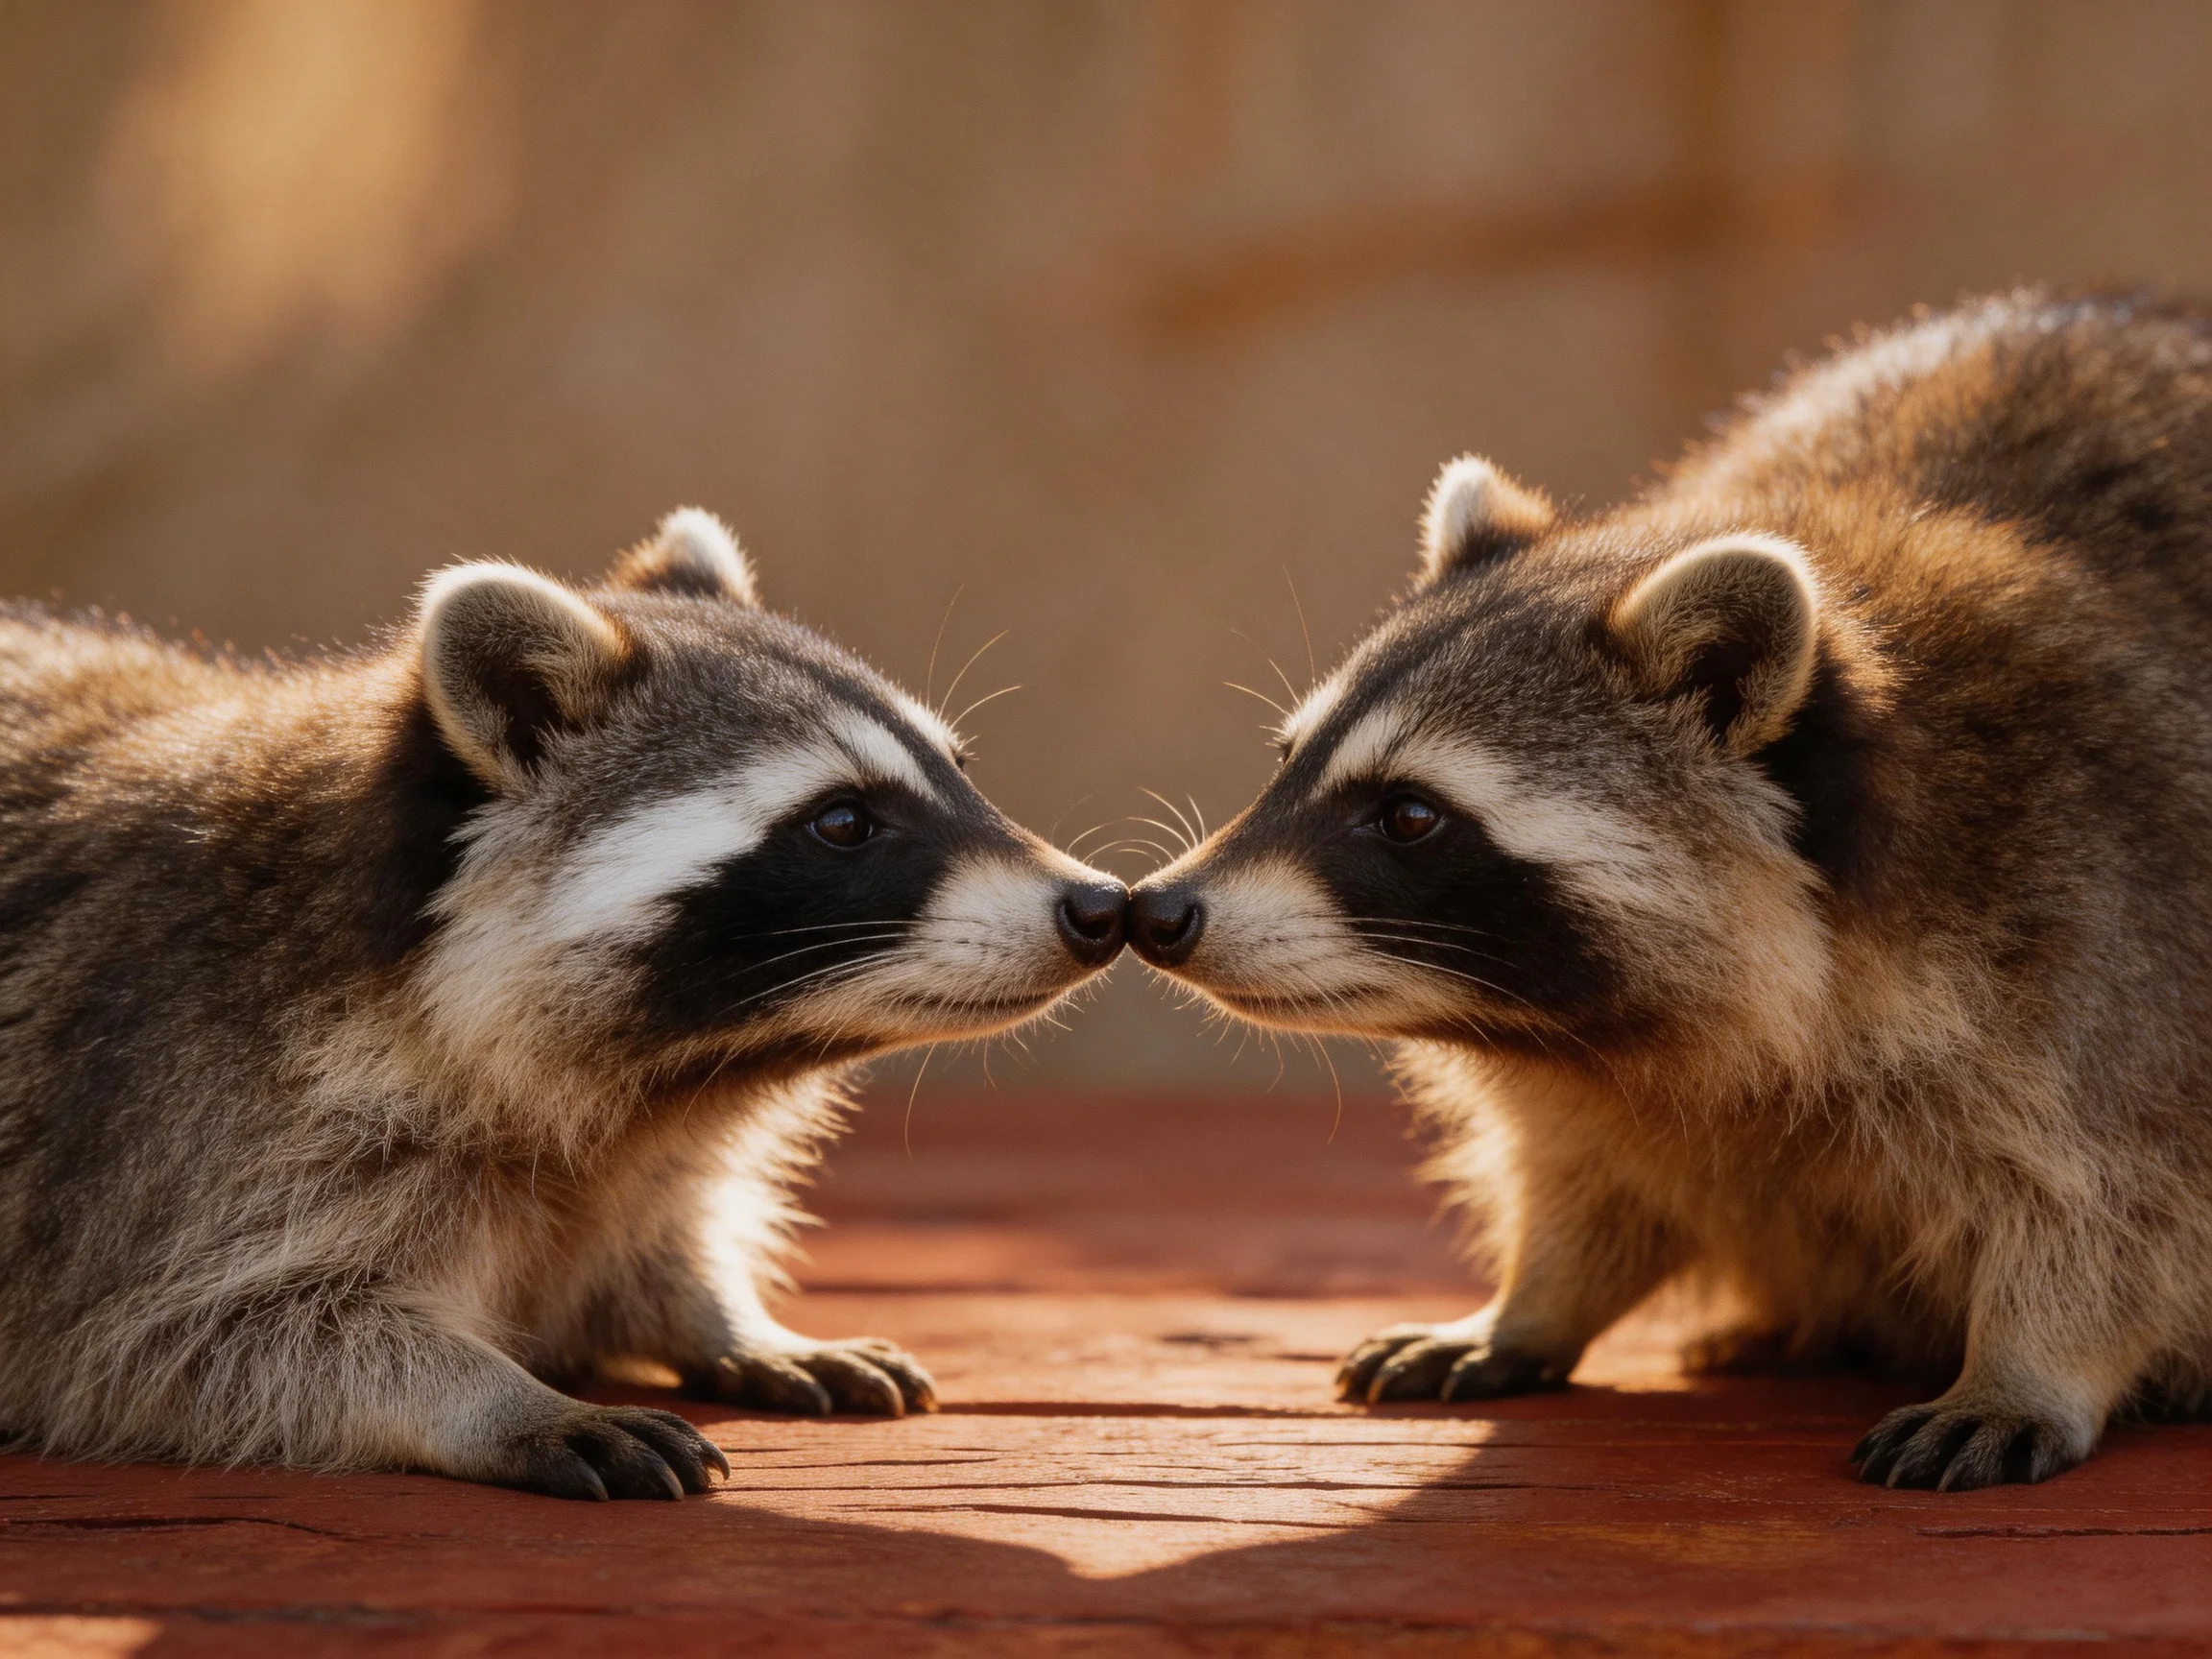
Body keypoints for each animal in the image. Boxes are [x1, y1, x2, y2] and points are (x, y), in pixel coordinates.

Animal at [0, 509, 1126, 1499]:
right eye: (844, 821)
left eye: (958, 772)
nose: (1101, 905)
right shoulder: (173, 1127)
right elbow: (172, 1343)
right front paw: (493, 1397)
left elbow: (654, 1238)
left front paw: (724, 1317)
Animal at [1129, 291, 2212, 1490]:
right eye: (1288, 762)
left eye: (1408, 815)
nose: (1158, 912)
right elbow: (1584, 1176)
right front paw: (1529, 1301)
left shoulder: (2111, 932)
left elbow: (2113, 1202)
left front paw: (2027, 1363)